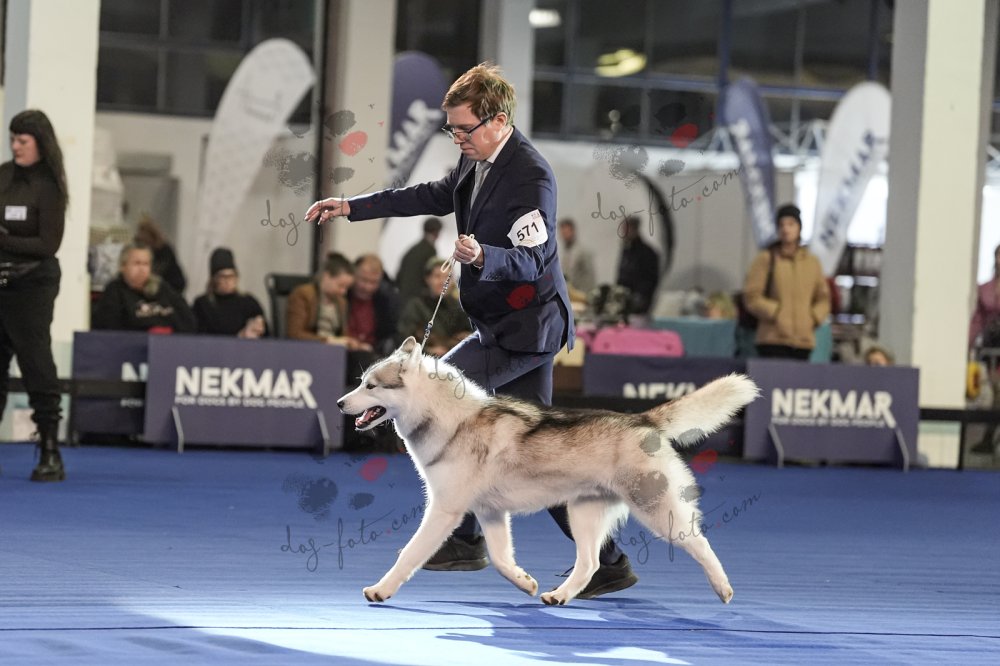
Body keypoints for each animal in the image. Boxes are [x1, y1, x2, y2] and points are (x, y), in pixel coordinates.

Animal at [338, 337, 759, 605]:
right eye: (360, 382)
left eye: (371, 385)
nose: (341, 402)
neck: (452, 421)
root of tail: (640, 419)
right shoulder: (490, 512)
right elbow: (501, 560)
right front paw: (524, 582)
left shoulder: (444, 510)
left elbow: (409, 555)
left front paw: (381, 589)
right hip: (582, 513)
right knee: (589, 563)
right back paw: (560, 596)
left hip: (657, 512)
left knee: (699, 542)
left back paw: (723, 588)